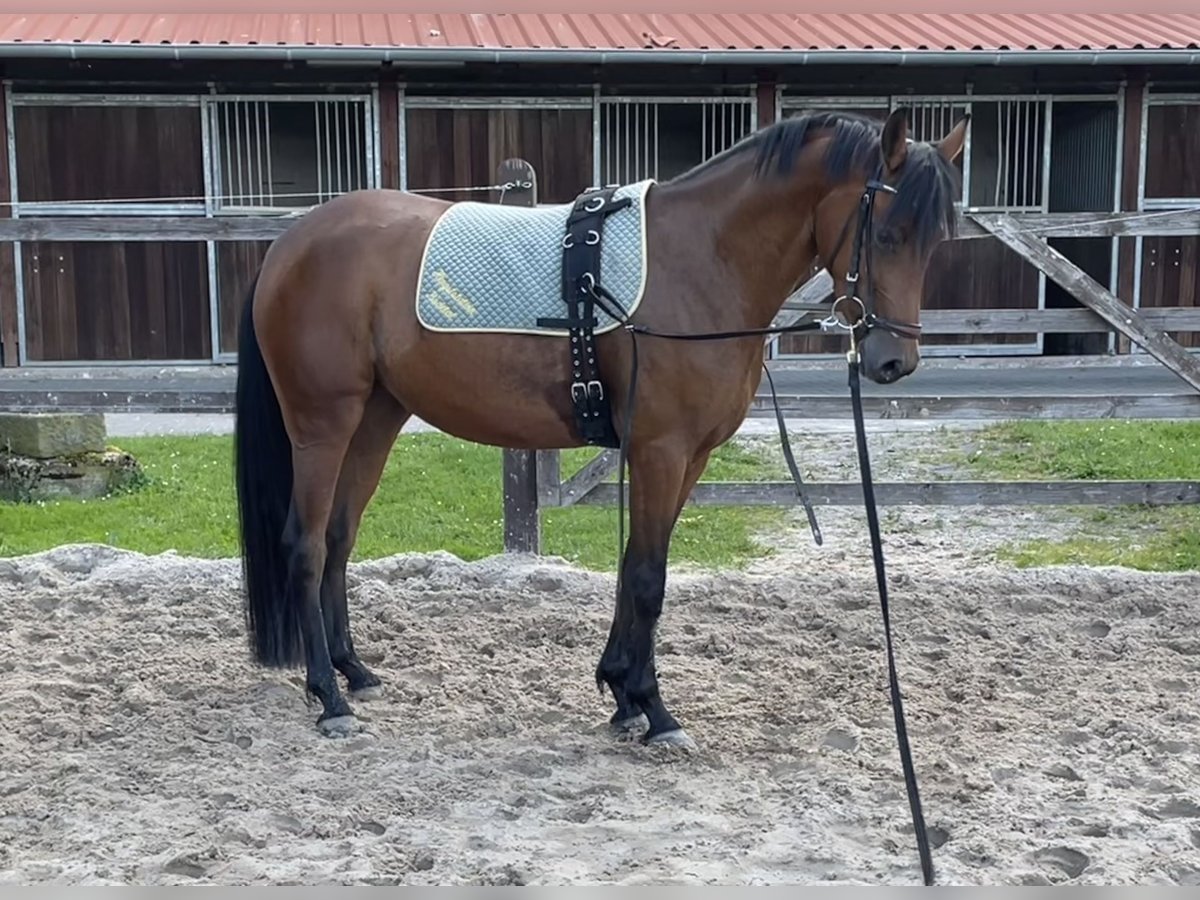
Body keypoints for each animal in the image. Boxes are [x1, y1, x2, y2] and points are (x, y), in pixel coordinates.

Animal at [231, 109, 964, 744]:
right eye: (886, 232)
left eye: (936, 241)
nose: (894, 361)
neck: (701, 258)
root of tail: (290, 244)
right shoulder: (660, 450)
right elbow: (647, 578)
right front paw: (653, 708)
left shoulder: (686, 457)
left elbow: (637, 563)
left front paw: (620, 693)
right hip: (323, 424)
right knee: (305, 544)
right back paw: (329, 697)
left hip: (375, 420)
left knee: (338, 537)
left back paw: (354, 672)